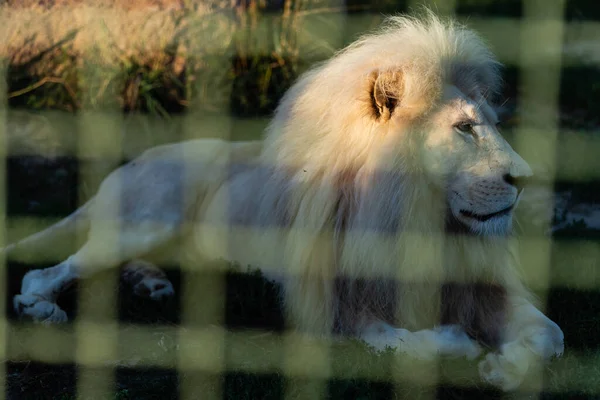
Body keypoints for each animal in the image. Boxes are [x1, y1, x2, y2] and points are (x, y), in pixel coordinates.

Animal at [9, 10, 564, 390]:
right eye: (464, 128)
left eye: (489, 123)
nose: (526, 178)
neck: (416, 216)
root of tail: (129, 165)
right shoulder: (337, 309)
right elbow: (417, 343)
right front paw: (468, 347)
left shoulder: (482, 289)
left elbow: (551, 335)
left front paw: (508, 366)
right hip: (149, 218)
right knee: (47, 273)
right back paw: (42, 307)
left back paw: (151, 284)